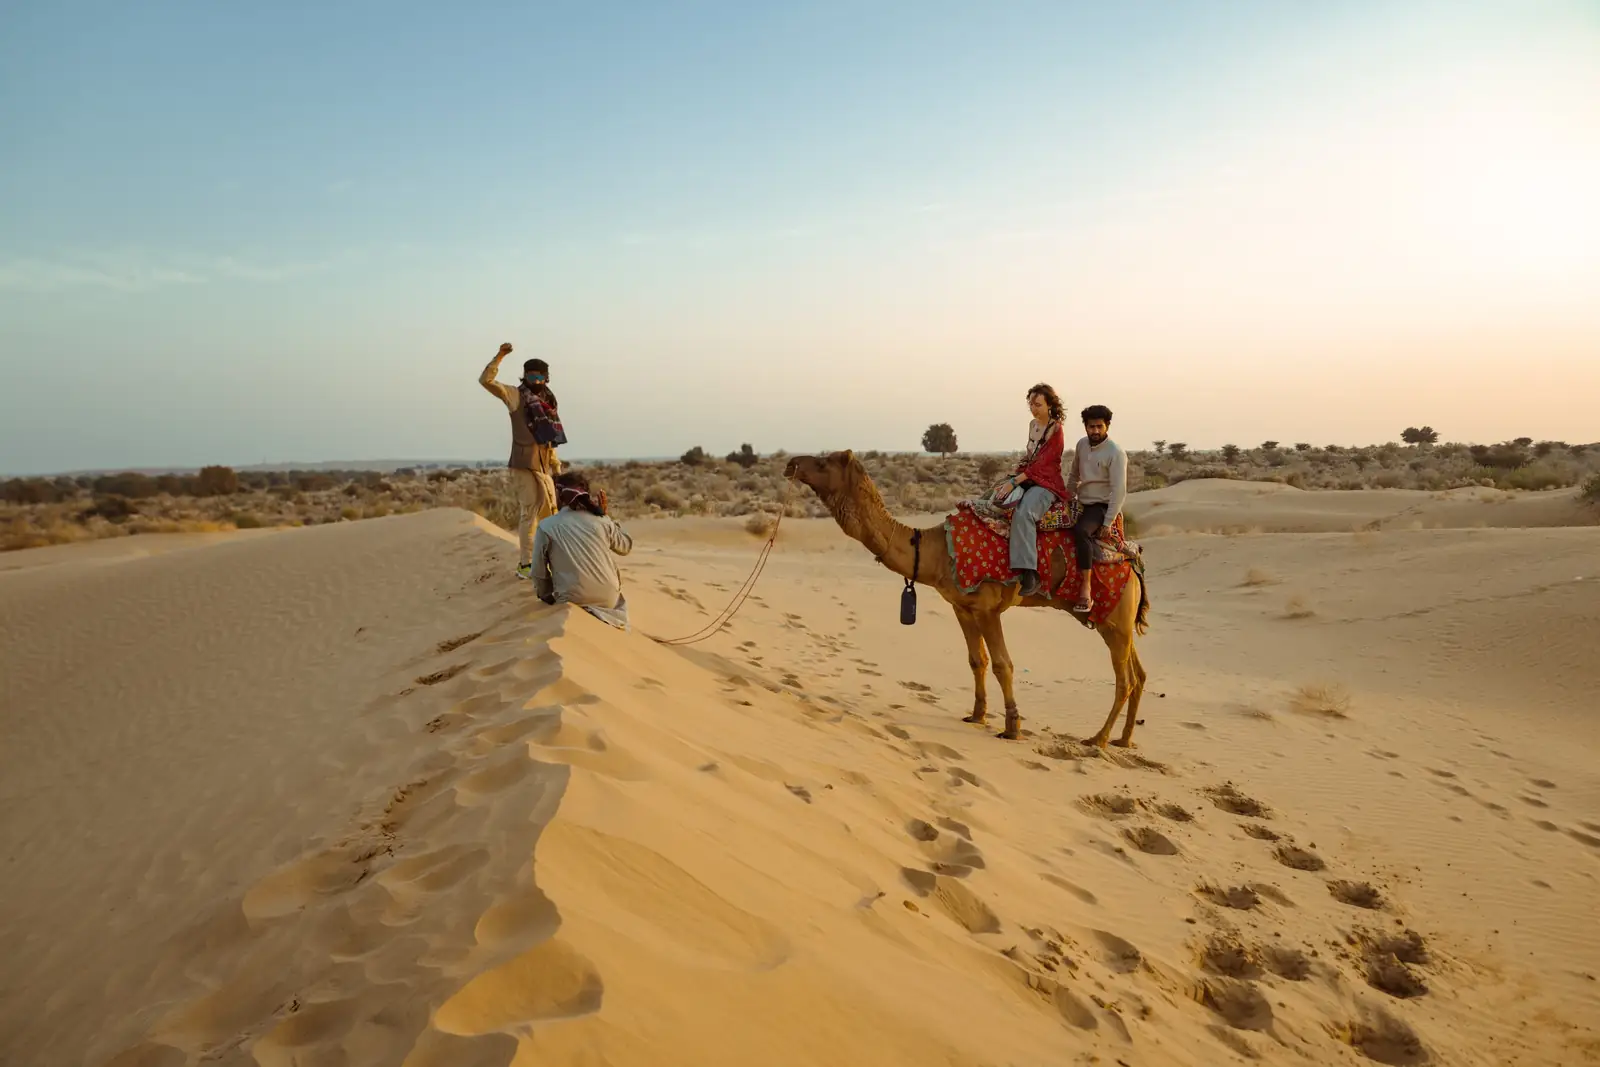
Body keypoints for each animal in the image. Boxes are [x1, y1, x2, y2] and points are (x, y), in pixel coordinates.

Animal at [784, 451, 1150, 746]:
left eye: (823, 463)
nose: (791, 463)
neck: (935, 550)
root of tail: (1134, 562)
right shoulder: (961, 607)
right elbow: (977, 661)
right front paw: (977, 715)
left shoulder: (988, 608)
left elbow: (1003, 664)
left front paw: (1012, 727)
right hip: (1115, 621)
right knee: (1139, 674)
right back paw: (1124, 740)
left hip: (1113, 618)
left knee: (1125, 680)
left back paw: (1098, 739)